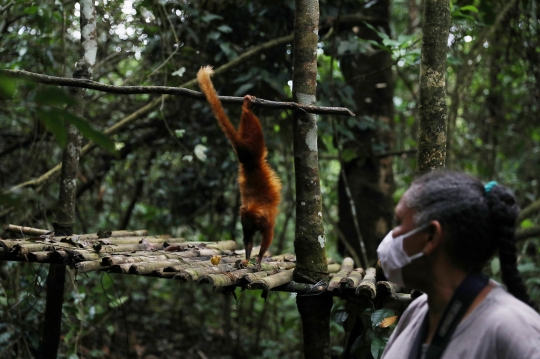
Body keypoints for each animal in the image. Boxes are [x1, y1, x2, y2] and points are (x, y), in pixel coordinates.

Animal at [198, 66, 282, 272]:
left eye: (254, 223)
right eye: (248, 224)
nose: (250, 227)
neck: (254, 207)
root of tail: (249, 159)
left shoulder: (265, 219)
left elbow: (267, 237)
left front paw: (258, 259)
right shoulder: (244, 217)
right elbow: (249, 241)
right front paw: (247, 258)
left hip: (254, 145)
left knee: (252, 127)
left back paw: (246, 107)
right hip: (251, 145)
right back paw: (246, 107)